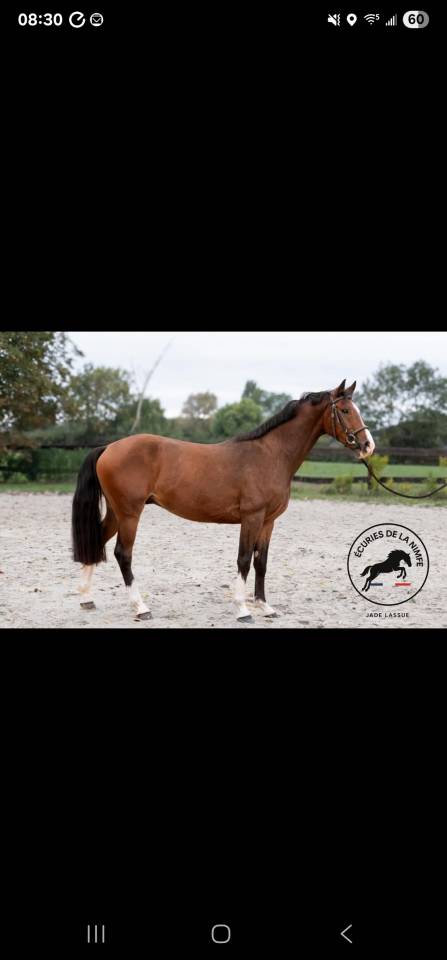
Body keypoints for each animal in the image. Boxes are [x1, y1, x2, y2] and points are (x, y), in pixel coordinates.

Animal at [71, 378, 375, 622]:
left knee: (97, 540)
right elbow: (244, 560)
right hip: (130, 514)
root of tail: (109, 447)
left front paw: (265, 607)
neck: (271, 455)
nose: (368, 445)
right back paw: (140, 607)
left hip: (117, 513)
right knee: (123, 554)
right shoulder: (251, 517)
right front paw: (243, 610)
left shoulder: (268, 522)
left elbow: (261, 562)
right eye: (345, 410)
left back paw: (86, 599)